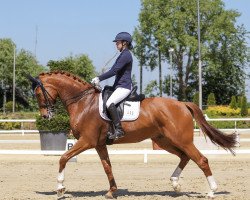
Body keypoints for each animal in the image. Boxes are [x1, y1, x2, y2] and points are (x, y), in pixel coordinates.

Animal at [27, 71, 236, 198]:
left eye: (37, 93)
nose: (45, 116)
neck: (83, 102)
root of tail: (182, 103)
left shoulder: (87, 141)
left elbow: (63, 158)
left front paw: (60, 188)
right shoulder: (99, 144)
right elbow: (107, 167)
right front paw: (112, 191)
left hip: (181, 139)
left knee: (201, 160)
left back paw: (211, 192)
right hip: (164, 140)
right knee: (185, 157)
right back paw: (175, 184)